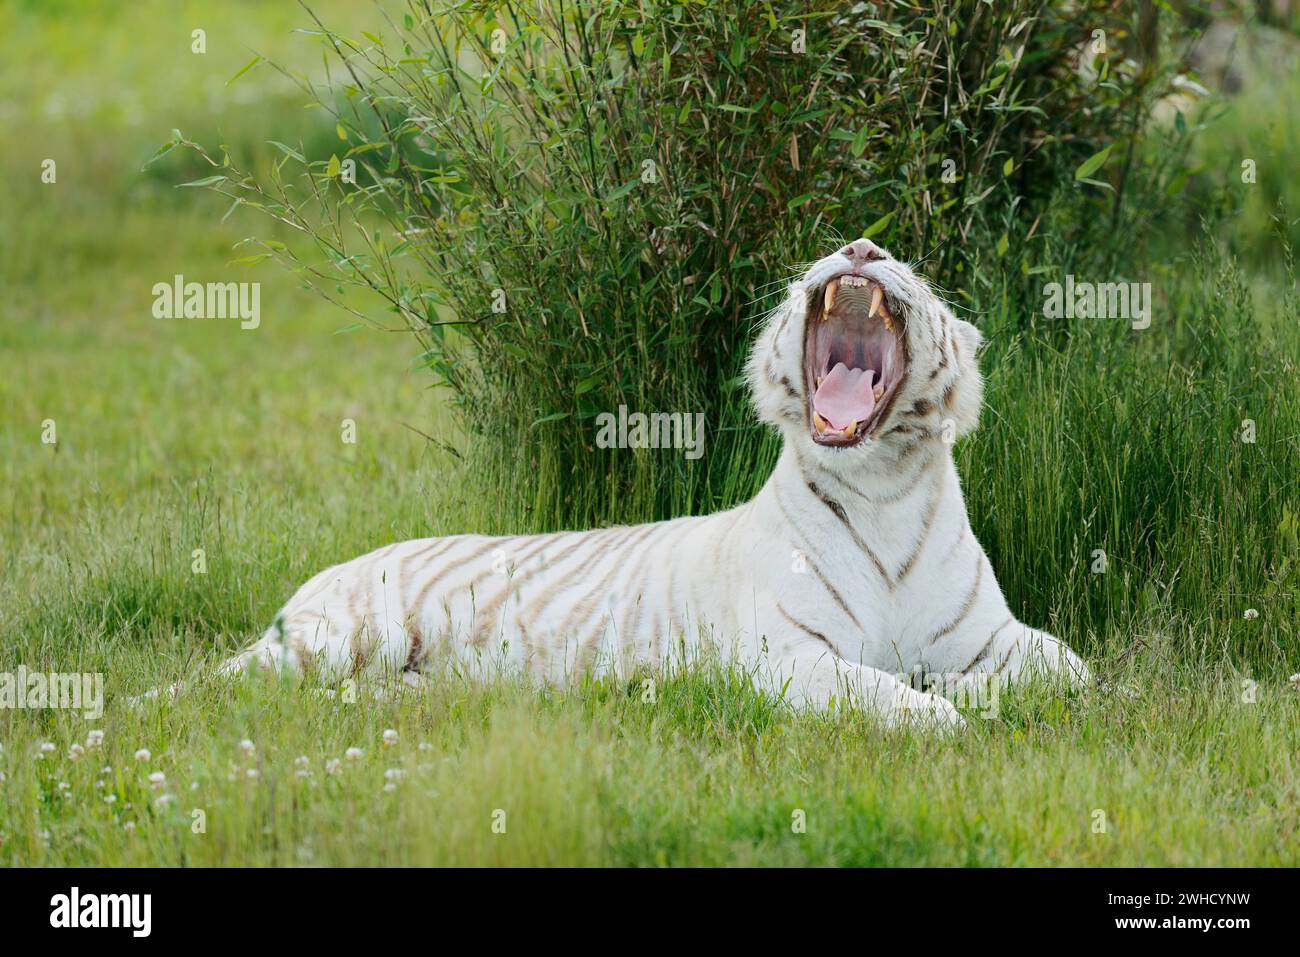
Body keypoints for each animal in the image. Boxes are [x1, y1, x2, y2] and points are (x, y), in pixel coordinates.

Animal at [152, 237, 1092, 722]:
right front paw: (942, 708)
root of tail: (327, 570)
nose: (860, 246)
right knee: (214, 681)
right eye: (843, 250)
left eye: (906, 265)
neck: (884, 487)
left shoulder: (1000, 632)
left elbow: (1069, 671)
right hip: (338, 636)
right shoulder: (784, 655)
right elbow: (887, 696)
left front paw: (961, 685)